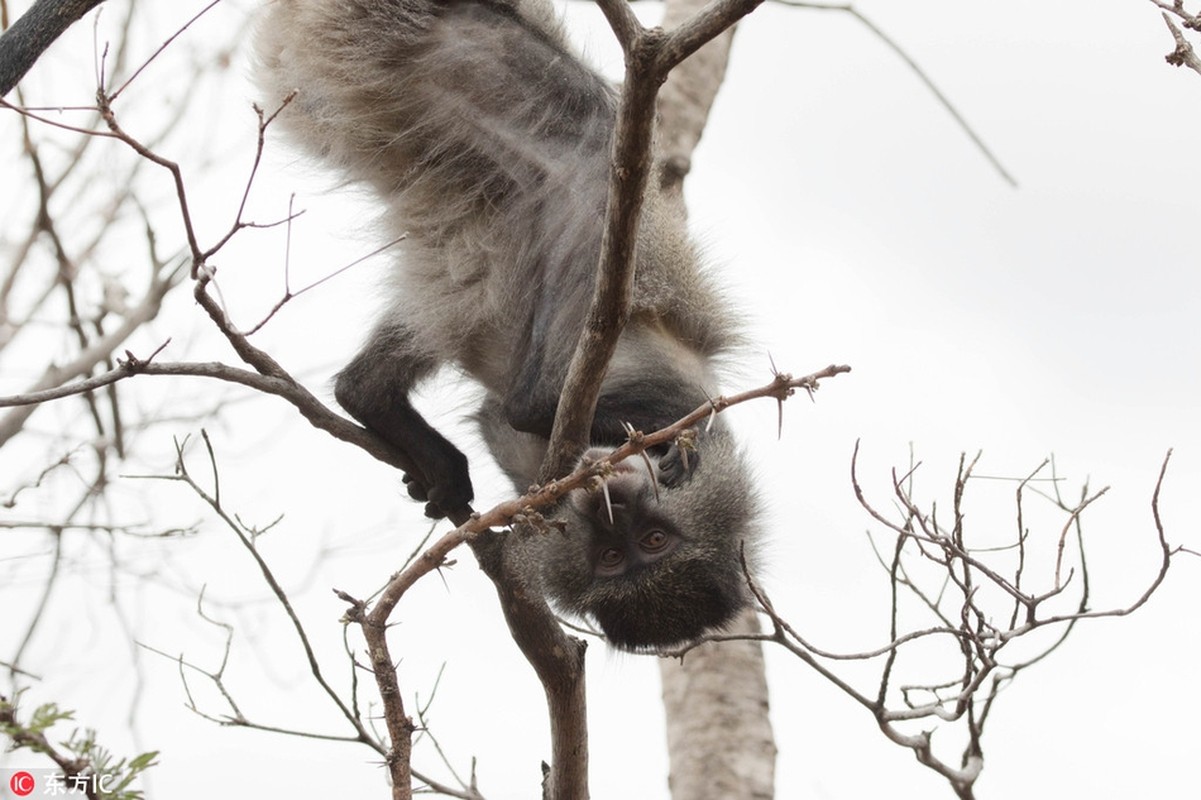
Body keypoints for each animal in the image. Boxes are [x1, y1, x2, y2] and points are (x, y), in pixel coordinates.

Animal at [255, 0, 759, 648]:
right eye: (620, 551)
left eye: (646, 545)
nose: (609, 504)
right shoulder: (676, 382)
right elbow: (565, 407)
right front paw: (676, 436)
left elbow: (499, 417)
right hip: (482, 58)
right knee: (592, 159)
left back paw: (379, 405)